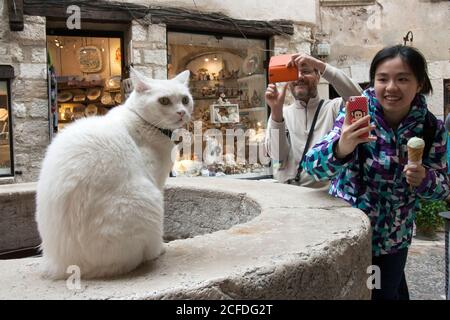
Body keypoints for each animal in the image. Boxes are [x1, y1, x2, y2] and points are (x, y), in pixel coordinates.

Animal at [35, 69, 193, 278]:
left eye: (185, 99)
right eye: (164, 101)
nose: (182, 112)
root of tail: (59, 264)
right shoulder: (155, 181)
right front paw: (161, 247)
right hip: (148, 198)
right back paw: (154, 252)